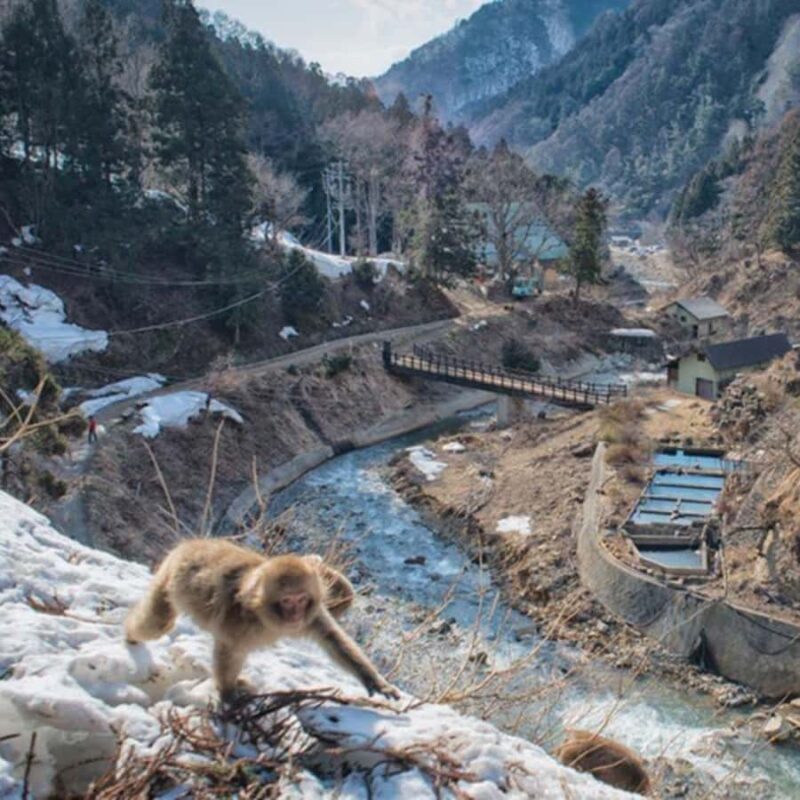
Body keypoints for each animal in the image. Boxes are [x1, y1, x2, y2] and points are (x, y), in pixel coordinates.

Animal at [125, 540, 398, 701]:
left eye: (301, 599)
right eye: (287, 601)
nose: (295, 615)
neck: (267, 616)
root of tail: (193, 543)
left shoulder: (313, 615)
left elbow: (334, 640)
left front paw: (376, 683)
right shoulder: (237, 619)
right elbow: (229, 650)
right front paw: (228, 693)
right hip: (170, 577)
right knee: (157, 623)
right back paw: (129, 635)